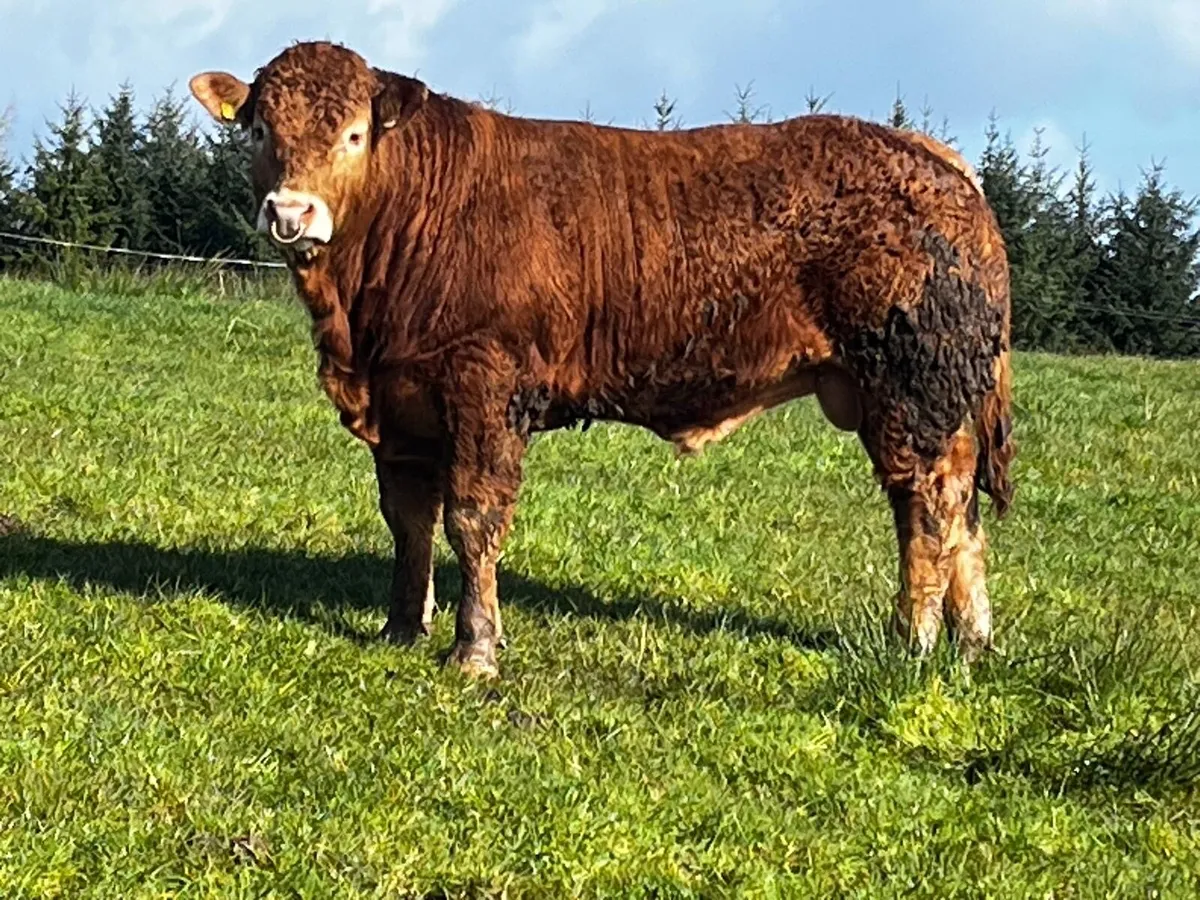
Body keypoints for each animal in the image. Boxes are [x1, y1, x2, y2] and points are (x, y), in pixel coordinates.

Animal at [188, 40, 1015, 679]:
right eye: (259, 128)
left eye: (356, 134)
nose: (291, 212)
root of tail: (939, 161)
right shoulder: (402, 406)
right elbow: (408, 519)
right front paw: (400, 627)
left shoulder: (485, 385)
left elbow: (472, 518)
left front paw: (474, 648)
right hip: (934, 400)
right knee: (963, 506)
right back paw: (973, 642)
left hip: (909, 388)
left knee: (929, 506)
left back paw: (914, 640)